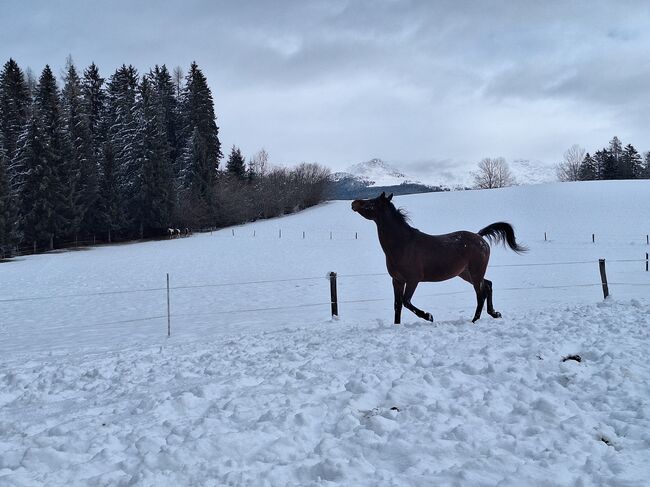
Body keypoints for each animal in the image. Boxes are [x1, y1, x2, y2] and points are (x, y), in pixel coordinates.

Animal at [350, 193, 528, 326]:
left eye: (371, 202)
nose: (354, 202)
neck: (403, 244)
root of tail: (480, 237)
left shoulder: (413, 280)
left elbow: (406, 302)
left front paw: (429, 316)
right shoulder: (397, 280)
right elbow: (397, 305)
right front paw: (397, 325)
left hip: (475, 273)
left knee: (481, 294)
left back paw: (475, 320)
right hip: (466, 273)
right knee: (488, 285)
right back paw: (495, 313)